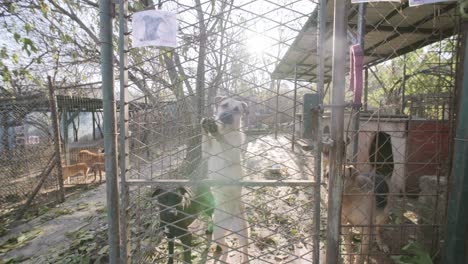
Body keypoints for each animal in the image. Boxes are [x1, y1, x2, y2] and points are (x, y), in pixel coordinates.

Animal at [202, 97, 250, 264]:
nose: (225, 116)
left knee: (244, 249)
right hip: (218, 233)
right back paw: (222, 258)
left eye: (236, 110)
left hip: (243, 233)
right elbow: (205, 140)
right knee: (227, 246)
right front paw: (206, 125)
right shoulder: (206, 153)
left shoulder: (231, 154)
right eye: (224, 105)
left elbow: (224, 143)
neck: (226, 131)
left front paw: (217, 133)